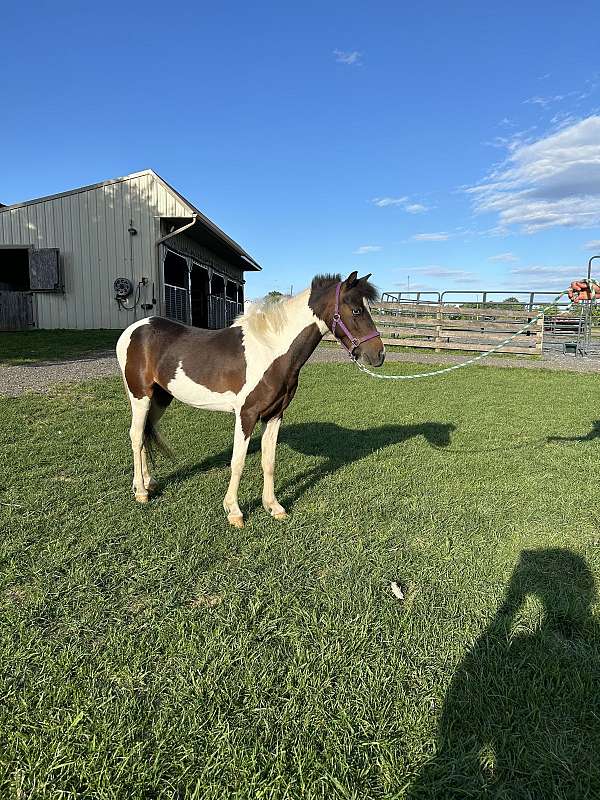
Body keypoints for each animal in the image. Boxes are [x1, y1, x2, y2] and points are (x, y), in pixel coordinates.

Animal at [116, 272, 384, 528]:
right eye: (357, 310)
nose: (379, 355)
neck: (271, 351)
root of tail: (134, 329)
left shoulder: (274, 415)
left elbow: (269, 461)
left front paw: (274, 507)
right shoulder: (246, 415)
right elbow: (238, 462)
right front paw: (234, 512)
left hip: (160, 398)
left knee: (145, 433)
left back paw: (148, 482)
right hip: (140, 396)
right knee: (136, 436)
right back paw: (141, 492)